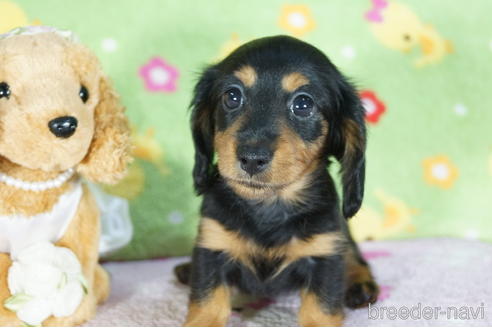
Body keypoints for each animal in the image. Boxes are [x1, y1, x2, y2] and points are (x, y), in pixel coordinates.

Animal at [178, 34, 380, 326]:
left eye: (303, 104)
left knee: (354, 256)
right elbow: (206, 306)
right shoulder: (212, 248)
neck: (269, 205)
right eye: (232, 96)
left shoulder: (324, 254)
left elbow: (320, 310)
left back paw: (360, 283)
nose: (251, 158)